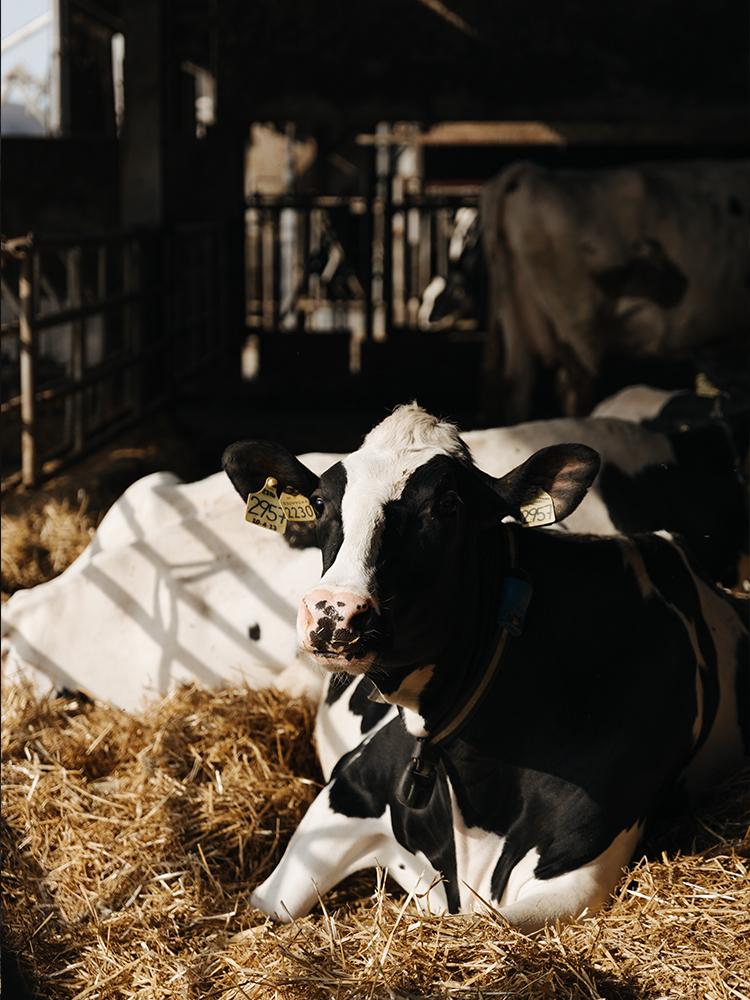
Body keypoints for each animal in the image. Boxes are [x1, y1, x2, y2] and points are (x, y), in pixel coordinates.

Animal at [222, 402, 749, 931]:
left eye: (449, 505)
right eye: (321, 502)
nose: (334, 612)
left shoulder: (582, 872)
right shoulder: (345, 793)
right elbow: (268, 910)